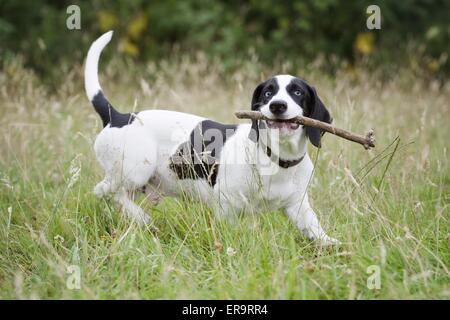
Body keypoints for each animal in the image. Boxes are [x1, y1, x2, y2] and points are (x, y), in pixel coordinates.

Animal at [84, 31, 338, 245]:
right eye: (268, 93)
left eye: (297, 92)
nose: (277, 105)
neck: (276, 157)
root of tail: (118, 116)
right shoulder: (226, 205)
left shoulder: (298, 208)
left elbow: (317, 231)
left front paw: (334, 248)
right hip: (134, 171)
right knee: (102, 191)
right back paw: (140, 217)